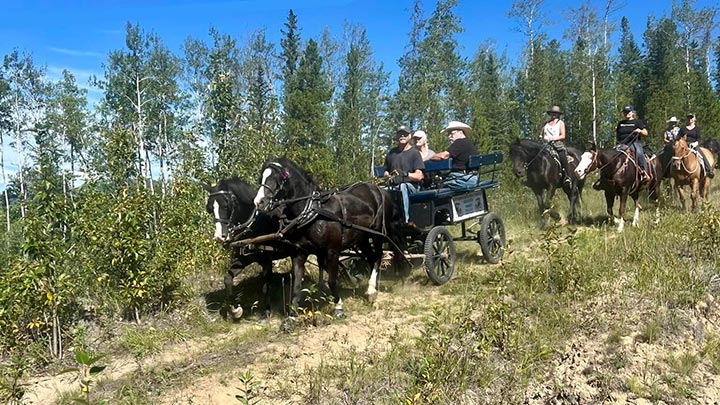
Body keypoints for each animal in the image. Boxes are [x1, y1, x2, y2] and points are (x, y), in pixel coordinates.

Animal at [204, 177, 294, 318]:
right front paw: (234, 310)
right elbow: (227, 280)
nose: (219, 237)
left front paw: (266, 311)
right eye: (209, 208)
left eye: (225, 205)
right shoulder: (242, 258)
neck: (254, 224)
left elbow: (266, 286)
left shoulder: (266, 260)